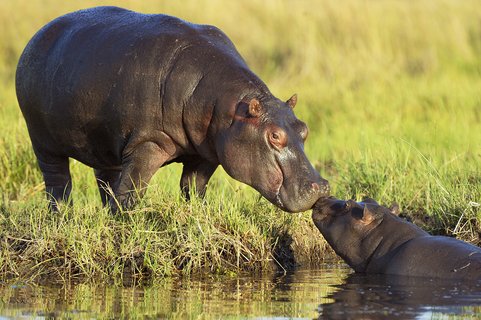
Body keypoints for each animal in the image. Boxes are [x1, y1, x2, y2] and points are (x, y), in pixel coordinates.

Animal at [15, 6, 330, 212]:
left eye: (304, 129)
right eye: (275, 135)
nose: (322, 186)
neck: (230, 107)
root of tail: (37, 35)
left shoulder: (207, 152)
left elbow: (193, 188)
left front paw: (198, 215)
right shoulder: (146, 144)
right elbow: (132, 190)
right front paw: (125, 223)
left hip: (105, 144)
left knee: (106, 179)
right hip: (42, 142)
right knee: (58, 183)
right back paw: (61, 217)